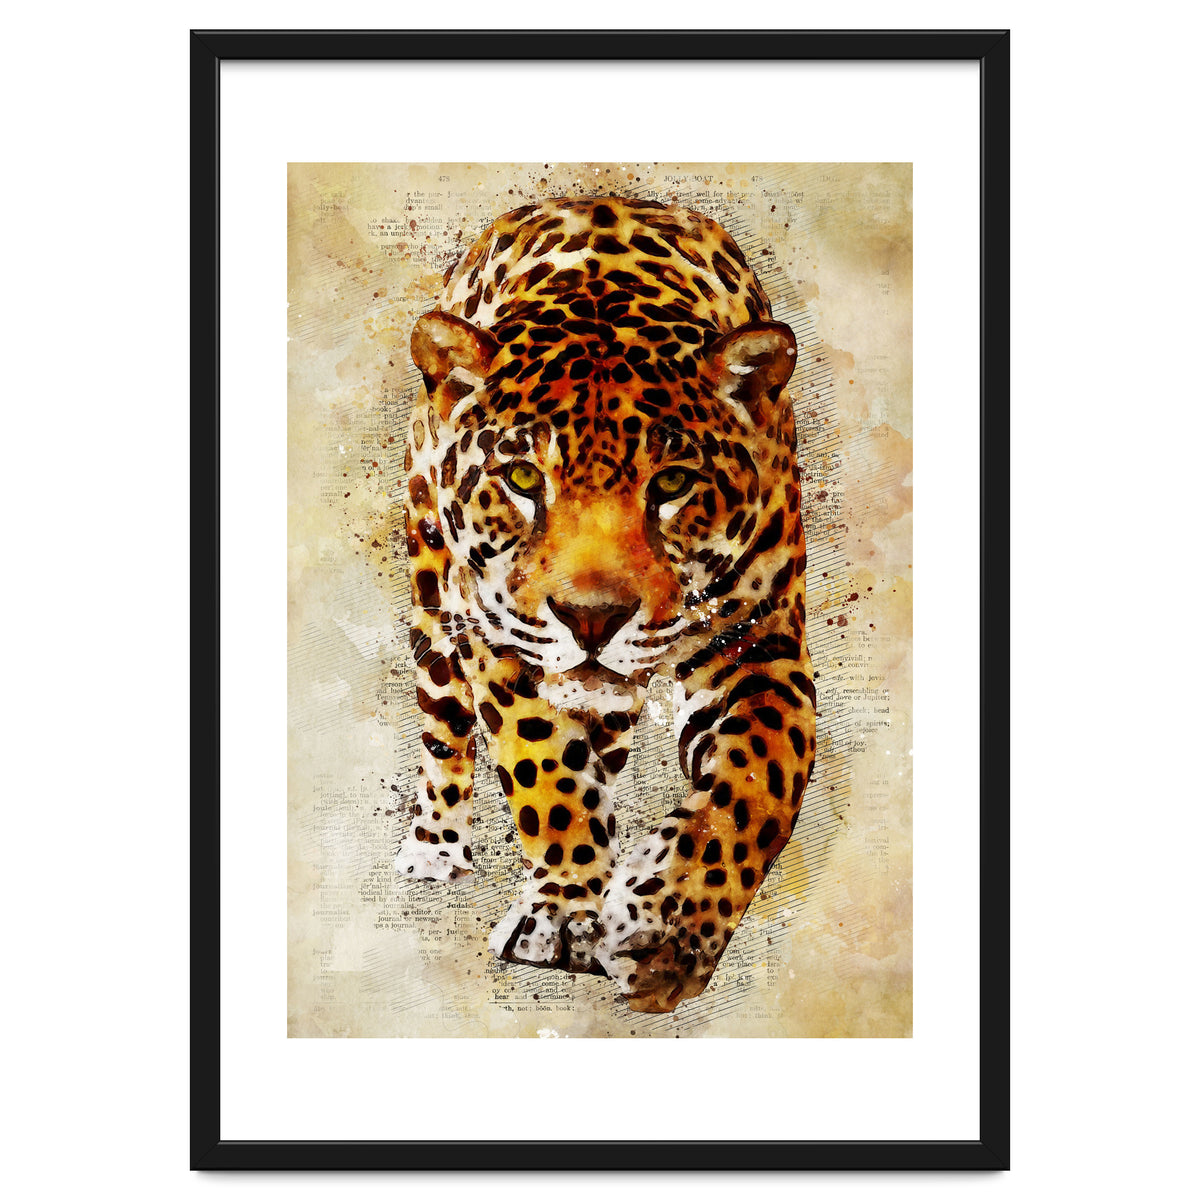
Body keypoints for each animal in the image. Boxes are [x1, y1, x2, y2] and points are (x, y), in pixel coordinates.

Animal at [395, 196, 816, 1013]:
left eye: (674, 482)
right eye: (523, 478)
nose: (591, 618)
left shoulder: (762, 643)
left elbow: (759, 781)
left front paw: (666, 930)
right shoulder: (502, 639)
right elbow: (543, 768)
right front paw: (564, 912)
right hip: (435, 600)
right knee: (444, 728)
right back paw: (435, 847)